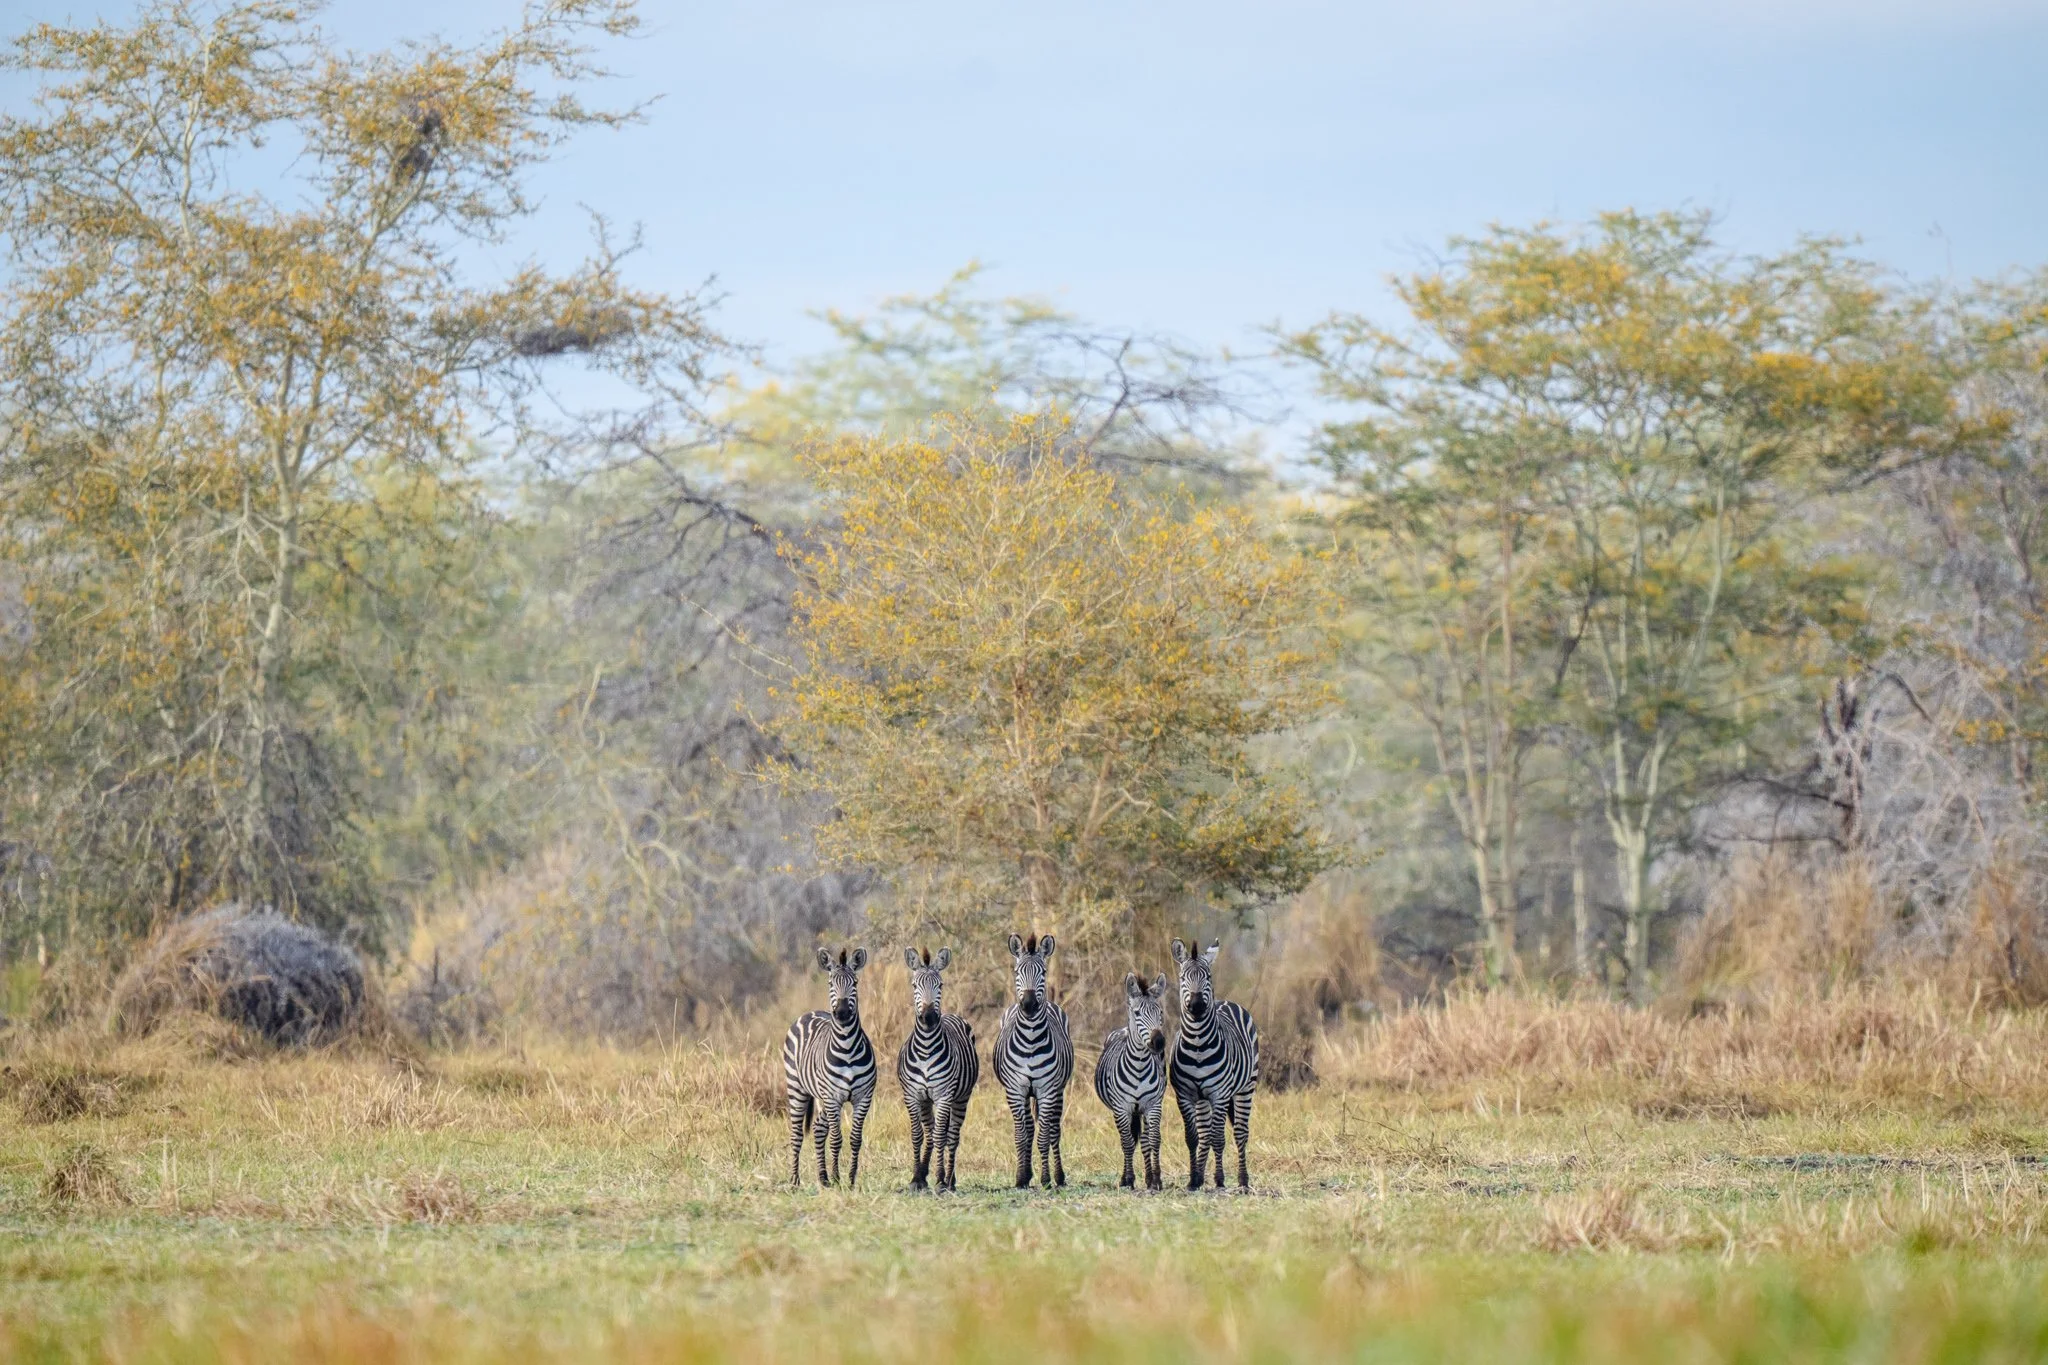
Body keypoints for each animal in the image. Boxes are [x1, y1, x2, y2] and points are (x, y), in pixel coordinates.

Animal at [782, 946, 878, 1189]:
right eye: (830, 983)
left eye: (855, 982)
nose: (842, 1013)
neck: (847, 1048)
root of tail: (809, 1012)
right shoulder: (833, 1097)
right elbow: (836, 1138)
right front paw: (837, 1177)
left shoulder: (863, 1097)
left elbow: (855, 1138)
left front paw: (850, 1179)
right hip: (797, 1088)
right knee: (797, 1134)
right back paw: (795, 1180)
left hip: (821, 1097)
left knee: (818, 1128)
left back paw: (823, 1179)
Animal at [896, 946, 979, 1192]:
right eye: (914, 986)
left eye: (940, 985)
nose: (929, 1017)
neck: (925, 1049)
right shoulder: (912, 1095)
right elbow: (918, 1135)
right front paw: (916, 1177)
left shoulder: (944, 1095)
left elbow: (942, 1135)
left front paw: (941, 1178)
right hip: (926, 1100)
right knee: (930, 1133)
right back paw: (925, 1174)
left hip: (961, 1097)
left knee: (952, 1135)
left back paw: (950, 1180)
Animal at [992, 933, 1074, 1189]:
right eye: (1017, 971)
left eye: (1044, 972)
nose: (1028, 1005)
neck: (1029, 1039)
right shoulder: (1015, 1089)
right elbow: (1022, 1134)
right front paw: (1020, 1177)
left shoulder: (1047, 1089)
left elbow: (1044, 1136)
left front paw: (1046, 1179)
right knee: (1029, 1126)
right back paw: (1027, 1173)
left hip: (1058, 1090)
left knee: (1054, 1130)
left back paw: (1059, 1176)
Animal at [1093, 970, 1169, 1191]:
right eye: (1137, 1013)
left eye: (1160, 1012)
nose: (1158, 1042)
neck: (1139, 1066)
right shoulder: (1121, 1108)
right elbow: (1127, 1142)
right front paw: (1128, 1179)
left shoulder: (1153, 1105)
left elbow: (1153, 1140)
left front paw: (1156, 1180)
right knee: (1126, 1140)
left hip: (1141, 1110)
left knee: (1144, 1140)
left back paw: (1149, 1177)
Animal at [1168, 937, 1260, 1190]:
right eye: (1183, 978)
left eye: (1208, 977)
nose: (1197, 1005)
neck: (1198, 1043)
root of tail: (1225, 1001)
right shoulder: (1185, 1095)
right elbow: (1193, 1137)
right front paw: (1193, 1180)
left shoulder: (1219, 1094)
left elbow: (1219, 1138)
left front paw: (1219, 1180)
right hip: (1203, 1099)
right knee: (1205, 1133)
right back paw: (1200, 1175)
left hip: (1246, 1087)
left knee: (1240, 1132)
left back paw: (1243, 1179)